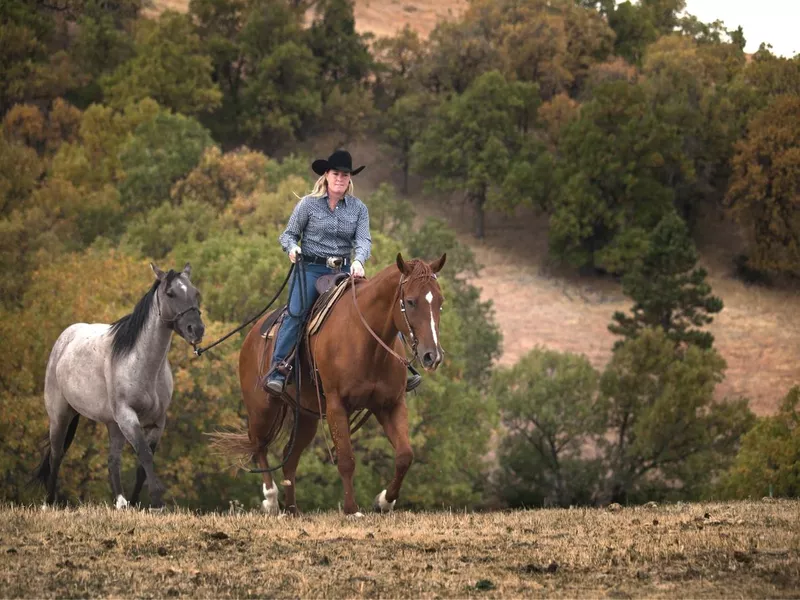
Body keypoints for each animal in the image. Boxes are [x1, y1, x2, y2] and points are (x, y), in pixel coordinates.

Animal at [34, 262, 205, 506]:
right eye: (170, 293)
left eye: (195, 293)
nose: (196, 330)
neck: (141, 363)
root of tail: (65, 339)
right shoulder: (128, 417)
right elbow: (144, 455)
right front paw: (157, 501)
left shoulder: (157, 422)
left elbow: (142, 466)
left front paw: (137, 504)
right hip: (60, 416)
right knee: (56, 455)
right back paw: (49, 502)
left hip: (113, 425)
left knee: (112, 462)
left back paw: (121, 503)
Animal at [217, 253, 444, 516]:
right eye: (410, 301)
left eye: (440, 302)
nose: (432, 355)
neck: (365, 340)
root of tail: (252, 334)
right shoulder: (337, 406)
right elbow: (346, 459)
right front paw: (351, 509)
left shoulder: (390, 404)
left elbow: (405, 455)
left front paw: (384, 501)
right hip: (262, 407)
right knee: (258, 444)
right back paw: (271, 501)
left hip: (306, 417)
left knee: (289, 458)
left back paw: (292, 509)